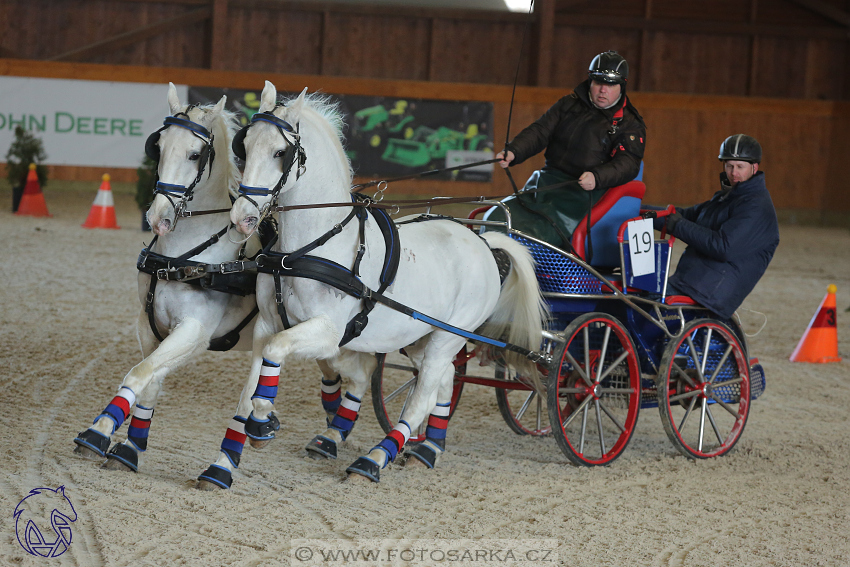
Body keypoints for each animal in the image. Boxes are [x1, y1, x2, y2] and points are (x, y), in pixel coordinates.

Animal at [75, 84, 264, 480]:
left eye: (195, 154)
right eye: (158, 147)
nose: (158, 218)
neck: (182, 258)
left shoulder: (193, 332)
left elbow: (139, 374)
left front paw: (98, 431)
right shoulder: (150, 326)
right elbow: (149, 382)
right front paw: (129, 448)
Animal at [198, 83, 548, 488]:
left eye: (281, 153)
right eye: (244, 145)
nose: (242, 218)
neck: (305, 248)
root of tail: (484, 241)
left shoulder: (327, 332)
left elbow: (276, 352)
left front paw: (262, 422)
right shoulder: (267, 324)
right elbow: (249, 386)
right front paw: (223, 463)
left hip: (450, 336)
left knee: (423, 395)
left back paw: (374, 460)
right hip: (418, 337)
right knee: (443, 382)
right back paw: (427, 450)